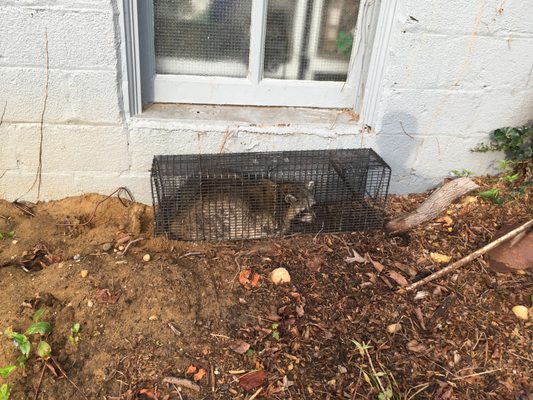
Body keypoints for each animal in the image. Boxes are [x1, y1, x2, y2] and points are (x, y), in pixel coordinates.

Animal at [168, 176, 314, 241]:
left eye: (312, 206)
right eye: (303, 210)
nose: (315, 216)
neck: (280, 194)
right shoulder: (271, 220)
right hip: (218, 218)